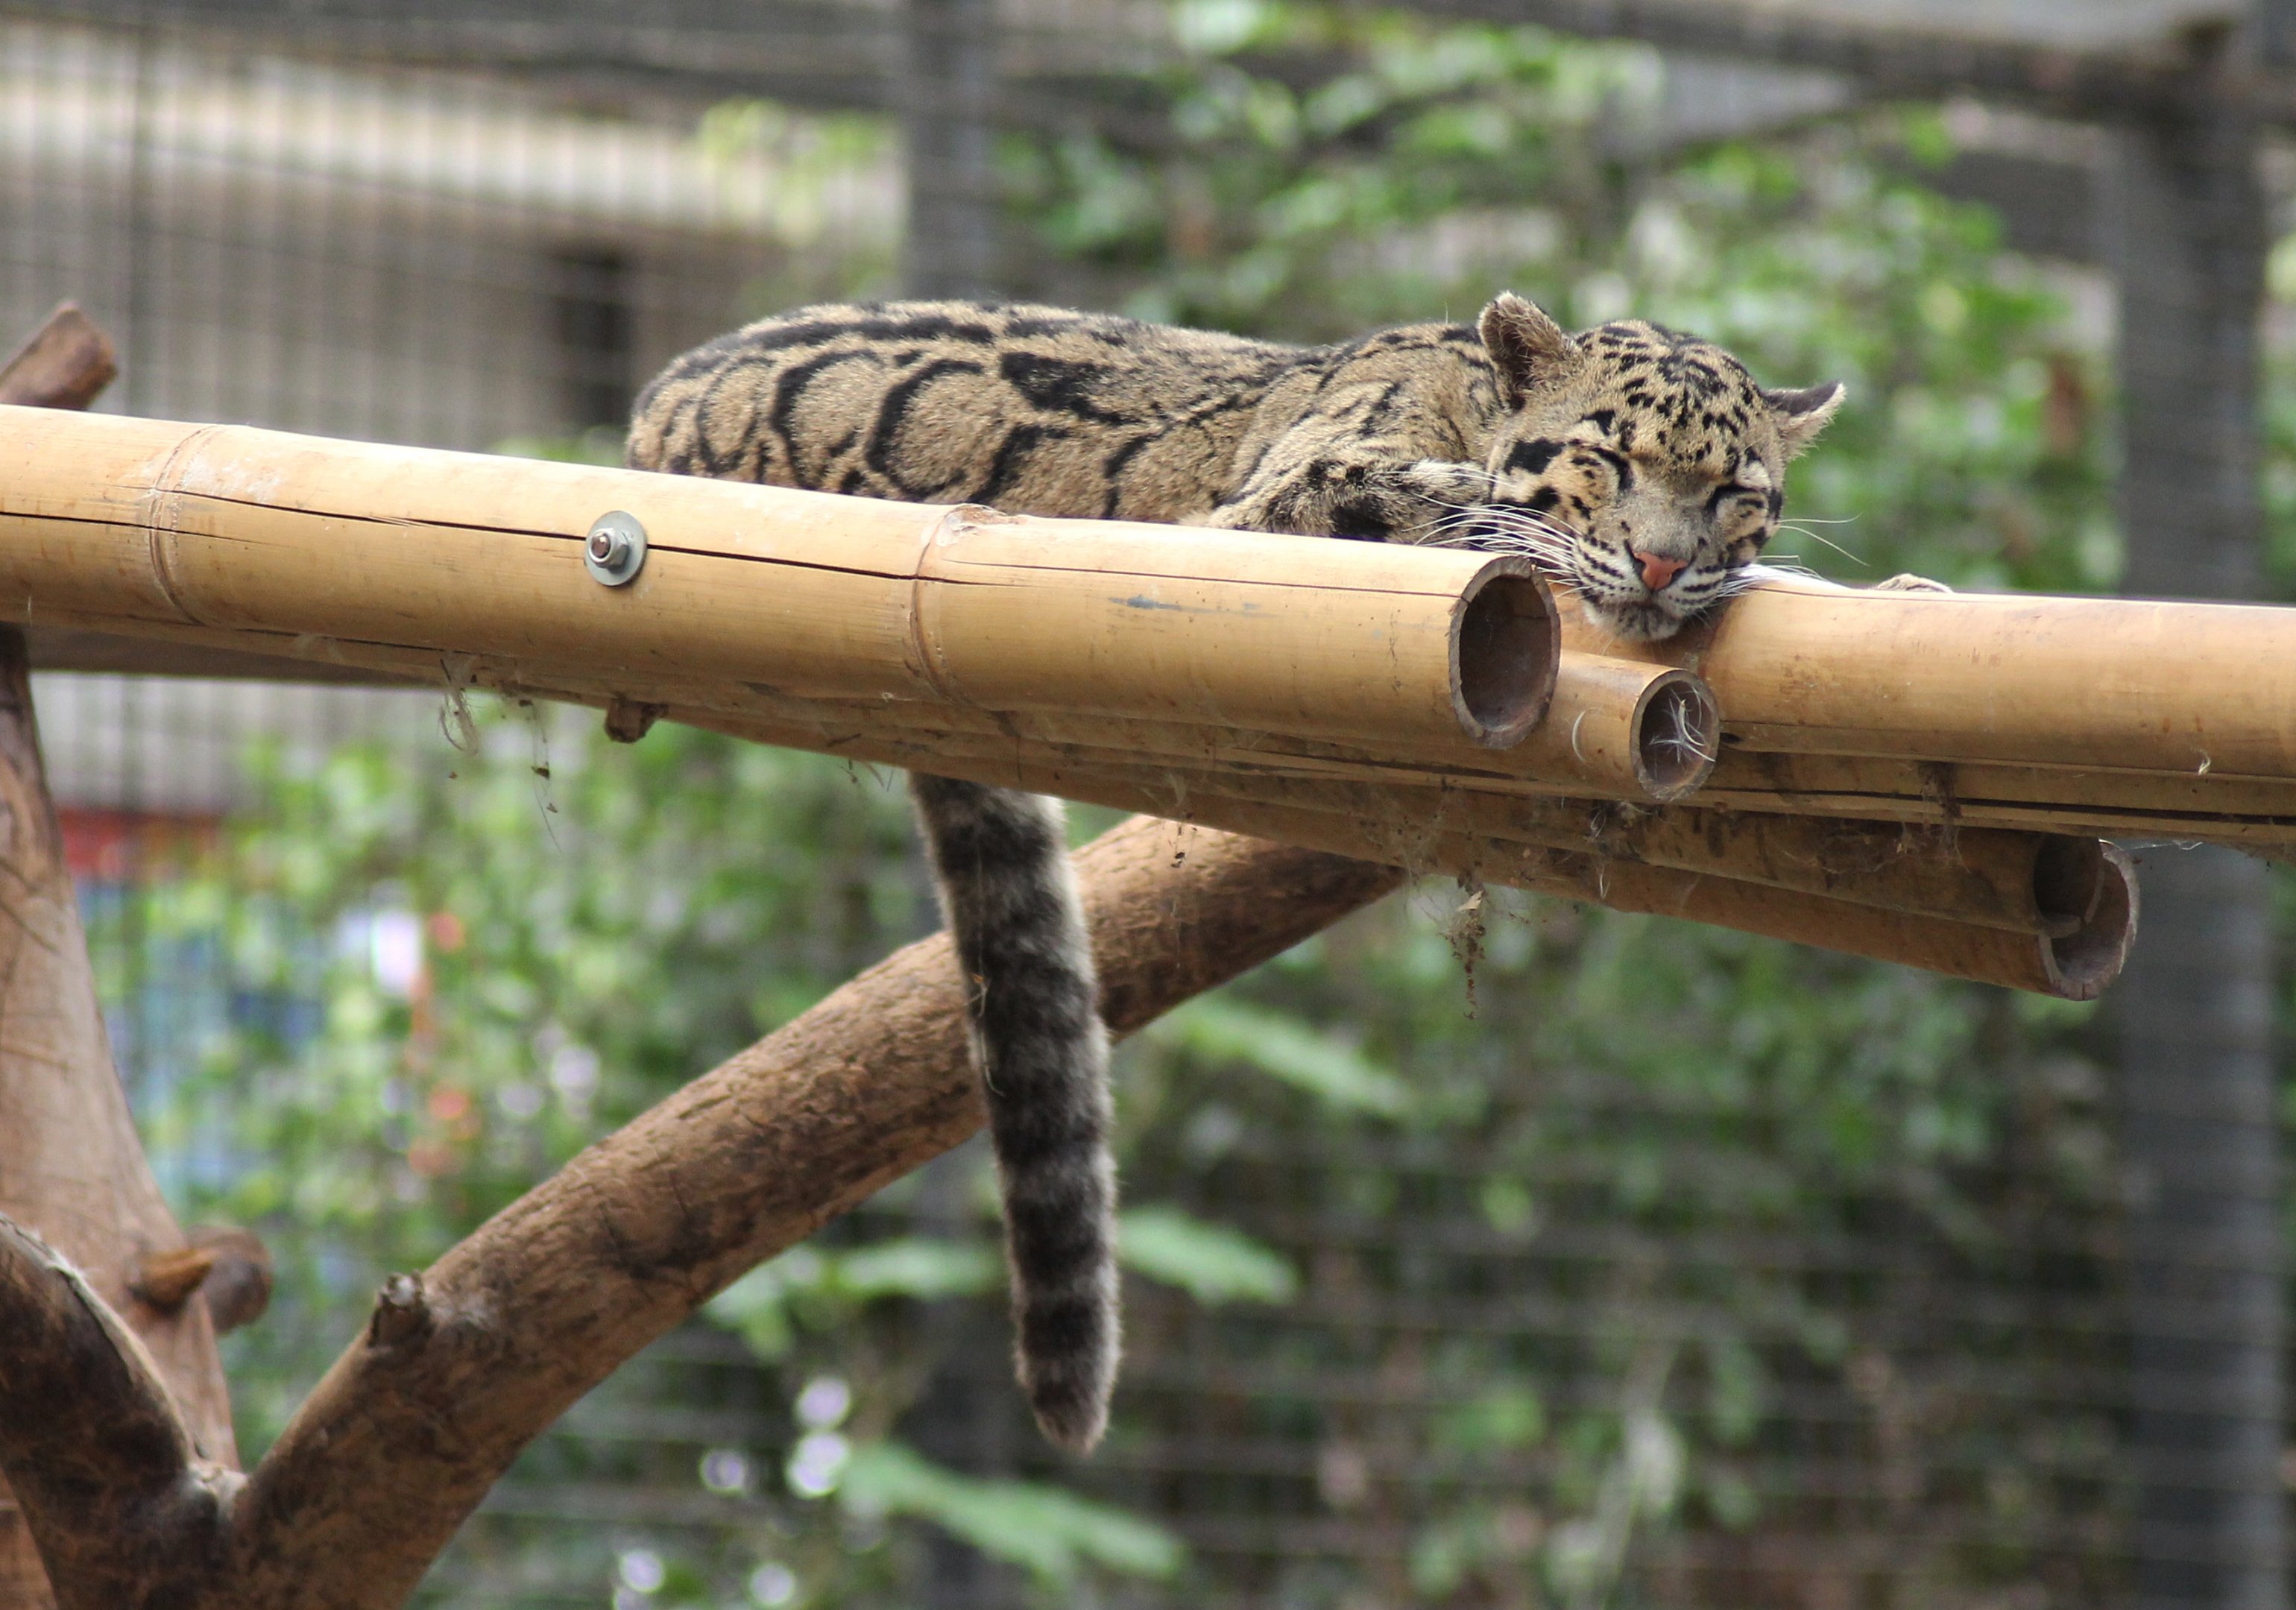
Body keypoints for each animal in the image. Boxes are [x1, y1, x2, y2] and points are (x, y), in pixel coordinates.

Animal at [628, 292, 1861, 1453]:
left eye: (1736, 493)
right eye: (1609, 458)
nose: (1662, 561)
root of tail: (650, 409)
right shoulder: (1257, 512)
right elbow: (1411, 498)